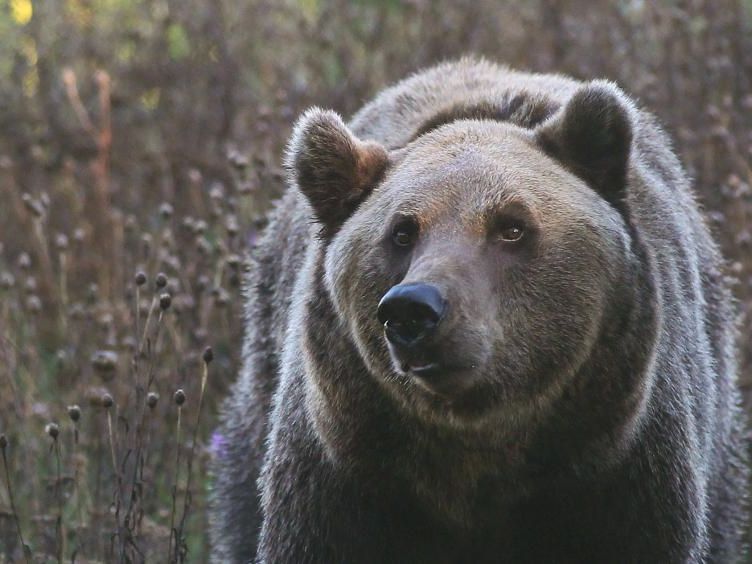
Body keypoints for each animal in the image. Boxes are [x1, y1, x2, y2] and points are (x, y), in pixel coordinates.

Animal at [209, 58, 749, 563]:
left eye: (511, 227)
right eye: (401, 231)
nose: (413, 309)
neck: (477, 451)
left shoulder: (621, 464)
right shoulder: (346, 467)